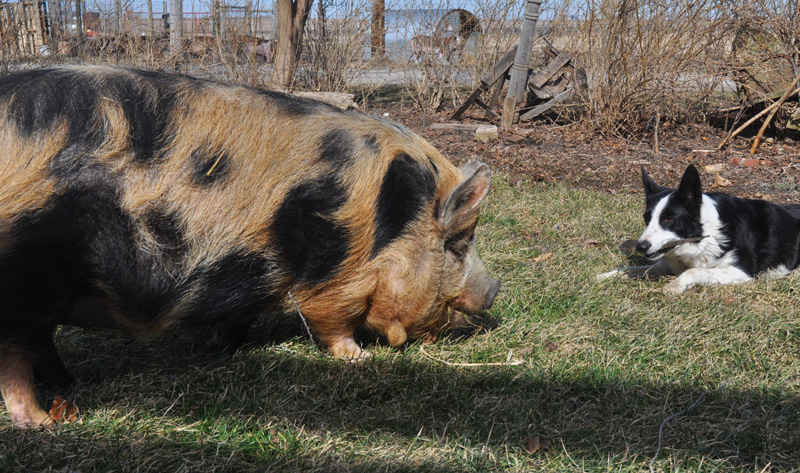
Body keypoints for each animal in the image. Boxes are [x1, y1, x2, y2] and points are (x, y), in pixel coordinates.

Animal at [0, 66, 500, 428]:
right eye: (457, 245)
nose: (494, 290)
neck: (388, 222)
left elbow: (240, 317)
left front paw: (223, 348)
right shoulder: (333, 272)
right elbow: (331, 319)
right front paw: (358, 358)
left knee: (41, 347)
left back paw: (72, 387)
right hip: (24, 282)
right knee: (17, 358)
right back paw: (43, 423)